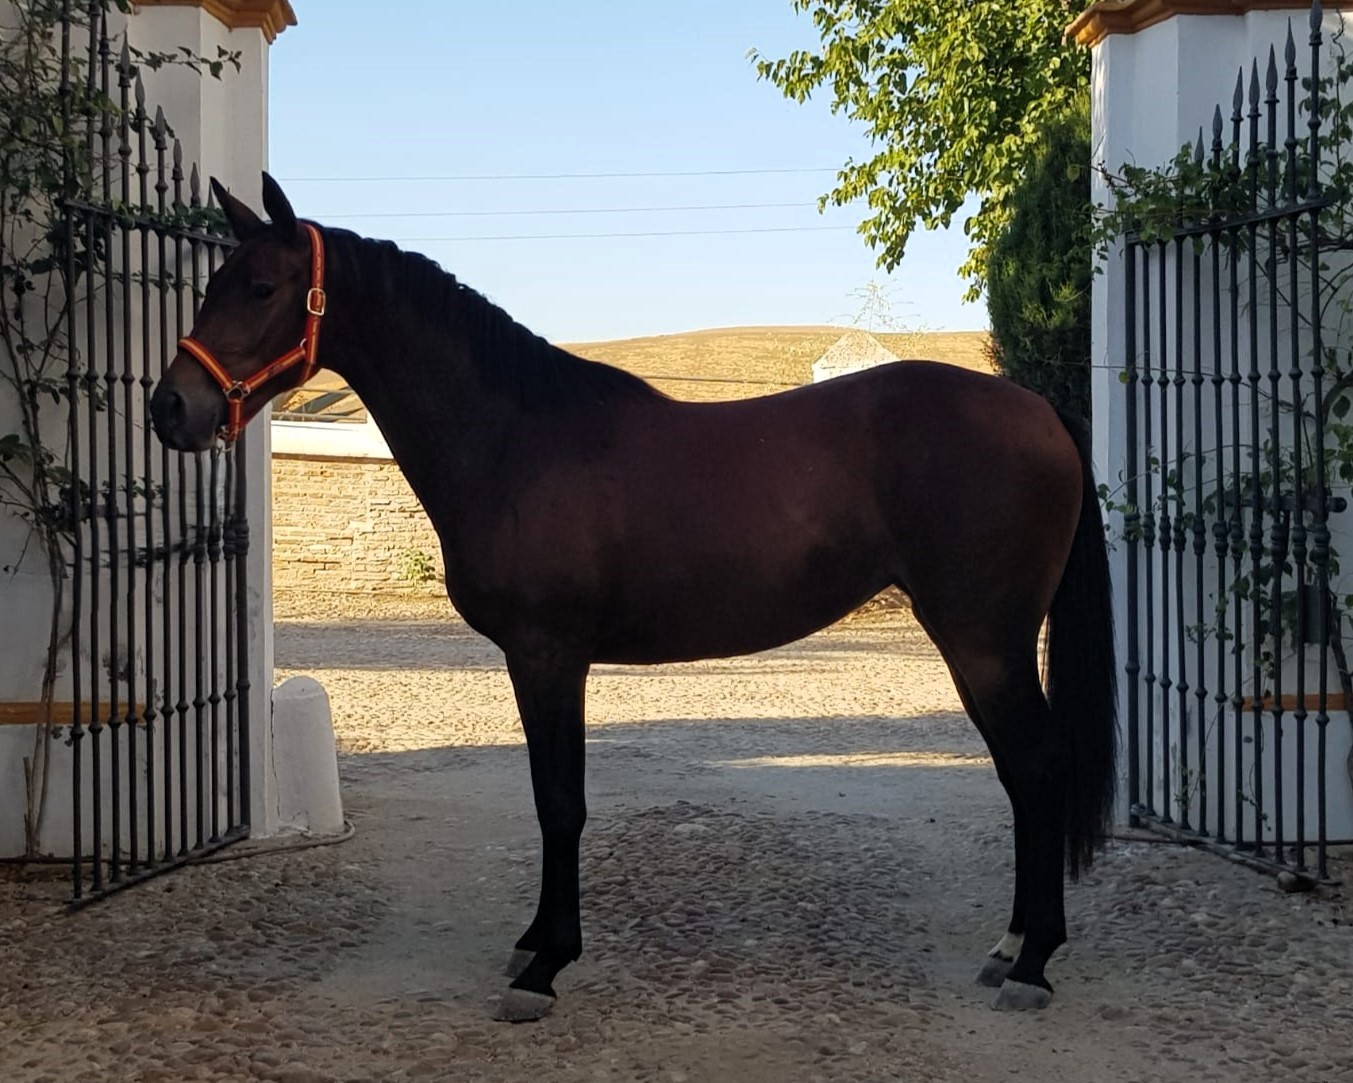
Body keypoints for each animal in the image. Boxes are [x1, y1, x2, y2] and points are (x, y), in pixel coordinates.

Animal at [150, 173, 1117, 1023]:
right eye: (212, 284)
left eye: (262, 286)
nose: (169, 408)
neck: (515, 437)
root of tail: (1038, 409)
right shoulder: (538, 659)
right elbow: (551, 796)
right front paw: (535, 942)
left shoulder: (548, 654)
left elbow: (559, 801)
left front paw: (543, 966)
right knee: (1022, 774)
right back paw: (1010, 945)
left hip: (982, 640)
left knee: (1037, 767)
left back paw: (1031, 963)